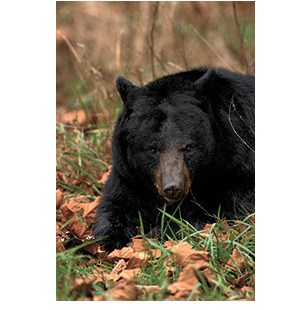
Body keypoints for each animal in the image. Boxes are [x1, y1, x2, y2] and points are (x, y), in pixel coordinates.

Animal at [92, 67, 254, 252]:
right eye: (152, 149)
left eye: (189, 147)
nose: (173, 188)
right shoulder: (128, 175)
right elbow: (114, 205)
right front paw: (109, 238)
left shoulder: (236, 167)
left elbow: (228, 209)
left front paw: (159, 231)